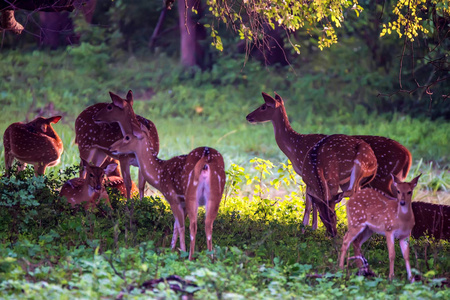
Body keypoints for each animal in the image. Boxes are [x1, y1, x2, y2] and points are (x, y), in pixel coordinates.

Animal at [109, 125, 225, 262]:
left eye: (127, 137)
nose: (111, 147)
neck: (159, 175)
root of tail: (206, 158)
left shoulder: (173, 197)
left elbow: (179, 226)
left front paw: (180, 252)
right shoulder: (182, 202)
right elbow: (175, 226)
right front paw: (170, 250)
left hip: (192, 195)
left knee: (193, 226)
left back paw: (189, 258)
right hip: (215, 195)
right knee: (208, 225)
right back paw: (210, 259)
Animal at [246, 92, 412, 236]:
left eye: (264, 106)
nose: (248, 116)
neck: (295, 147)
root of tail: (408, 156)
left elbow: (311, 202)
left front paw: (308, 228)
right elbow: (313, 202)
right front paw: (311, 228)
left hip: (382, 179)